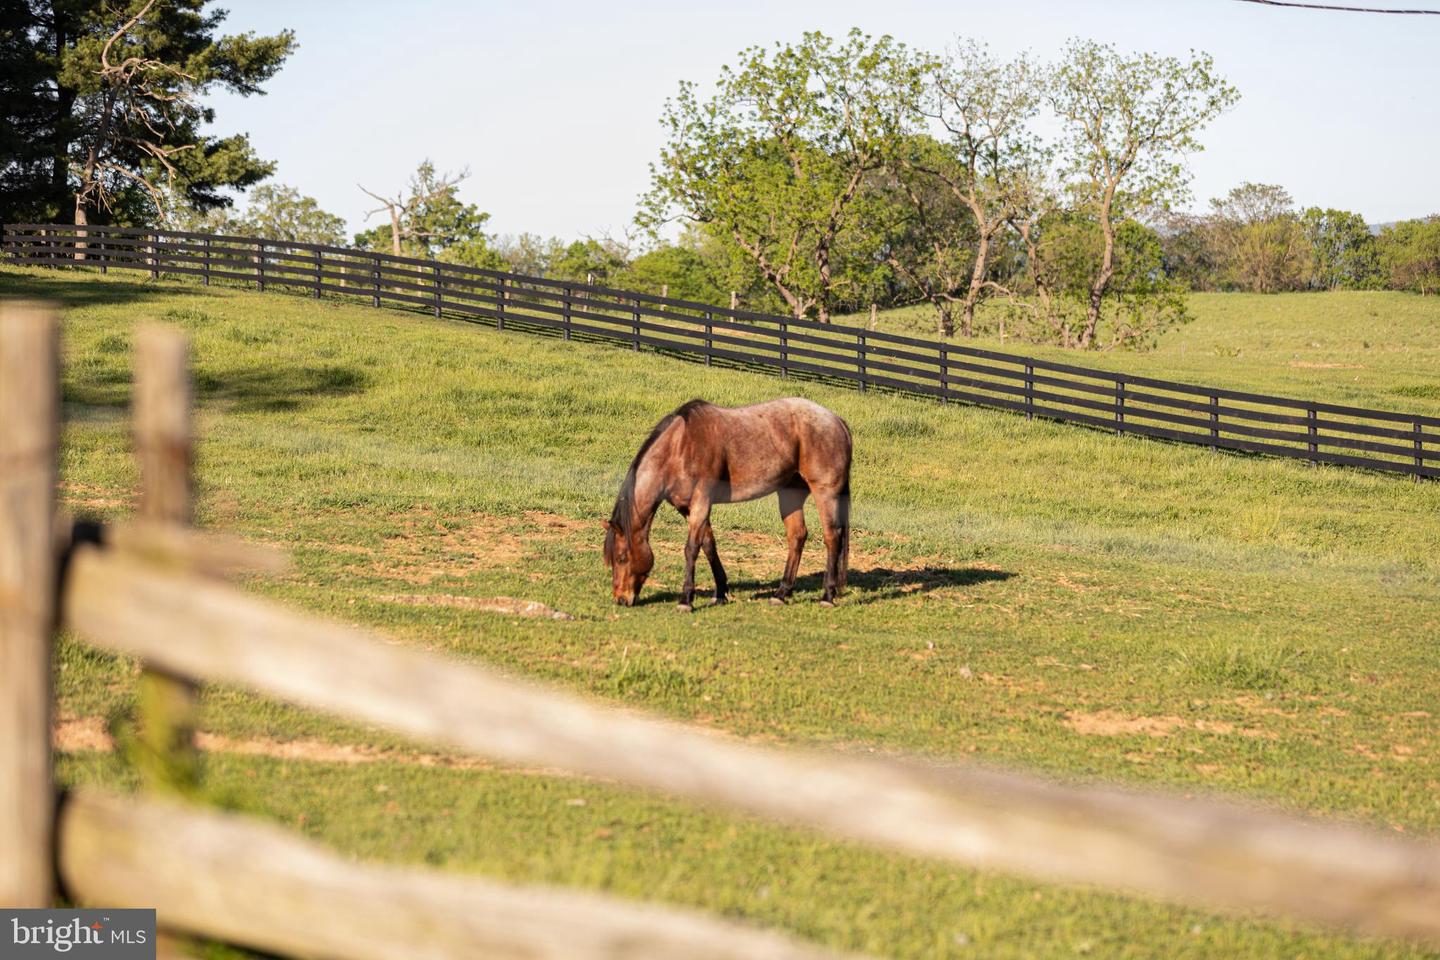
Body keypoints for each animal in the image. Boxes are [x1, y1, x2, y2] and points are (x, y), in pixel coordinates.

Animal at [601, 397, 846, 607]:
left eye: (622, 558)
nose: (620, 599)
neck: (680, 447)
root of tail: (836, 420)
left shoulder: (701, 501)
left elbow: (691, 548)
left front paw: (686, 599)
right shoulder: (687, 508)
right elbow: (709, 545)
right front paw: (720, 592)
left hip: (825, 493)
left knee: (831, 537)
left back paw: (827, 595)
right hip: (790, 494)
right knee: (797, 536)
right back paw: (781, 593)